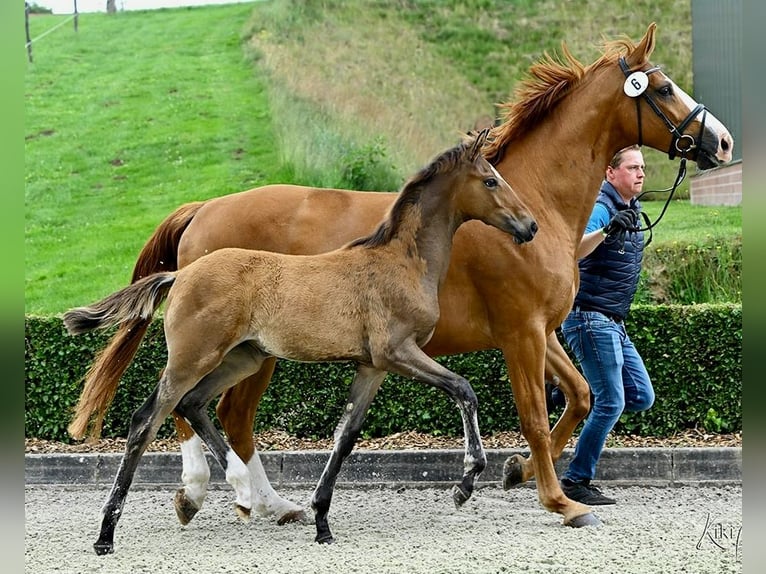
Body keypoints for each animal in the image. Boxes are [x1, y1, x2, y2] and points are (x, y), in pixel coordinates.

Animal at [63, 130, 538, 555]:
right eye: (491, 180)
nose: (530, 225)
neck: (402, 261)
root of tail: (179, 275)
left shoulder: (372, 366)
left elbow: (345, 435)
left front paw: (322, 521)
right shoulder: (398, 352)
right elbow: (464, 389)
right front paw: (465, 483)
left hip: (243, 359)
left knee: (194, 405)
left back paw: (243, 491)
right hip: (193, 358)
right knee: (147, 419)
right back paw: (108, 534)